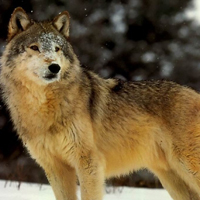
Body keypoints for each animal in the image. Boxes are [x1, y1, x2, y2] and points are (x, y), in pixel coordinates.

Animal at [0, 6, 200, 200]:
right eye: (34, 47)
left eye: (57, 49)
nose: (54, 67)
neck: (43, 106)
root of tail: (195, 93)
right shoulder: (54, 168)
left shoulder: (88, 162)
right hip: (171, 179)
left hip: (187, 167)